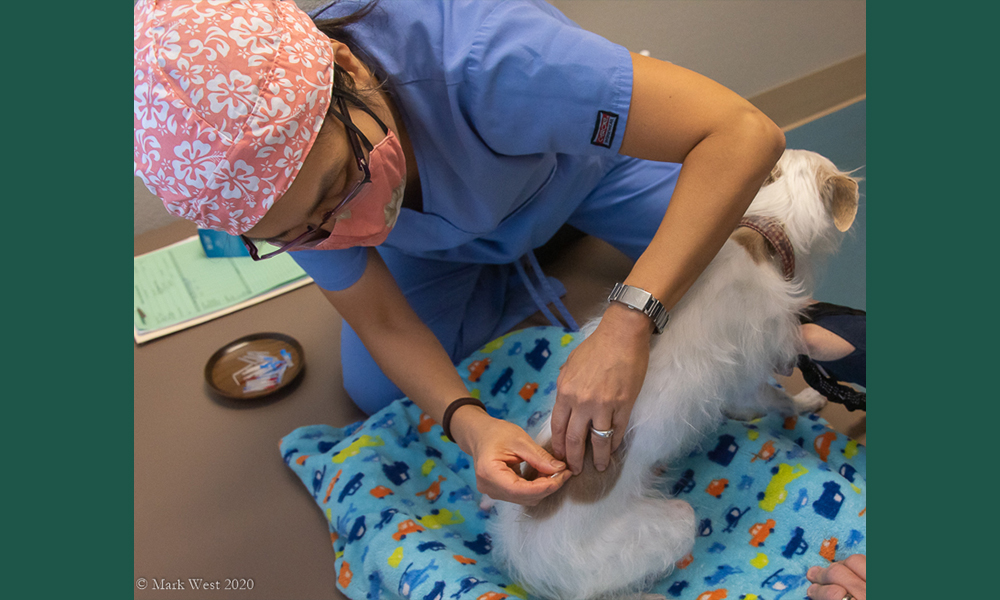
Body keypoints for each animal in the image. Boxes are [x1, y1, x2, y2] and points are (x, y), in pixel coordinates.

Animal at [486, 150, 860, 600]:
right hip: (670, 523)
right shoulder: (749, 378)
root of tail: (519, 550)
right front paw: (807, 399)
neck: (762, 232)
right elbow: (779, 399)